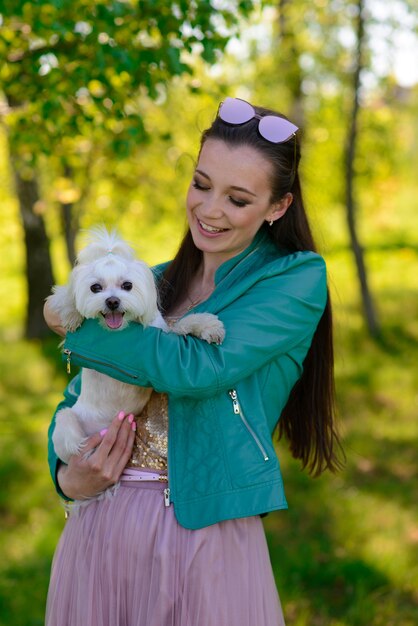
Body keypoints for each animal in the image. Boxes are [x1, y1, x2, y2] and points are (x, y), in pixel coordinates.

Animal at [48, 225, 225, 464]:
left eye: (127, 285)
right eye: (95, 288)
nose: (112, 301)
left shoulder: (164, 334)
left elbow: (184, 323)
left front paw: (209, 326)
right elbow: (63, 295)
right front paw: (72, 315)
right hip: (67, 420)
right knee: (71, 441)